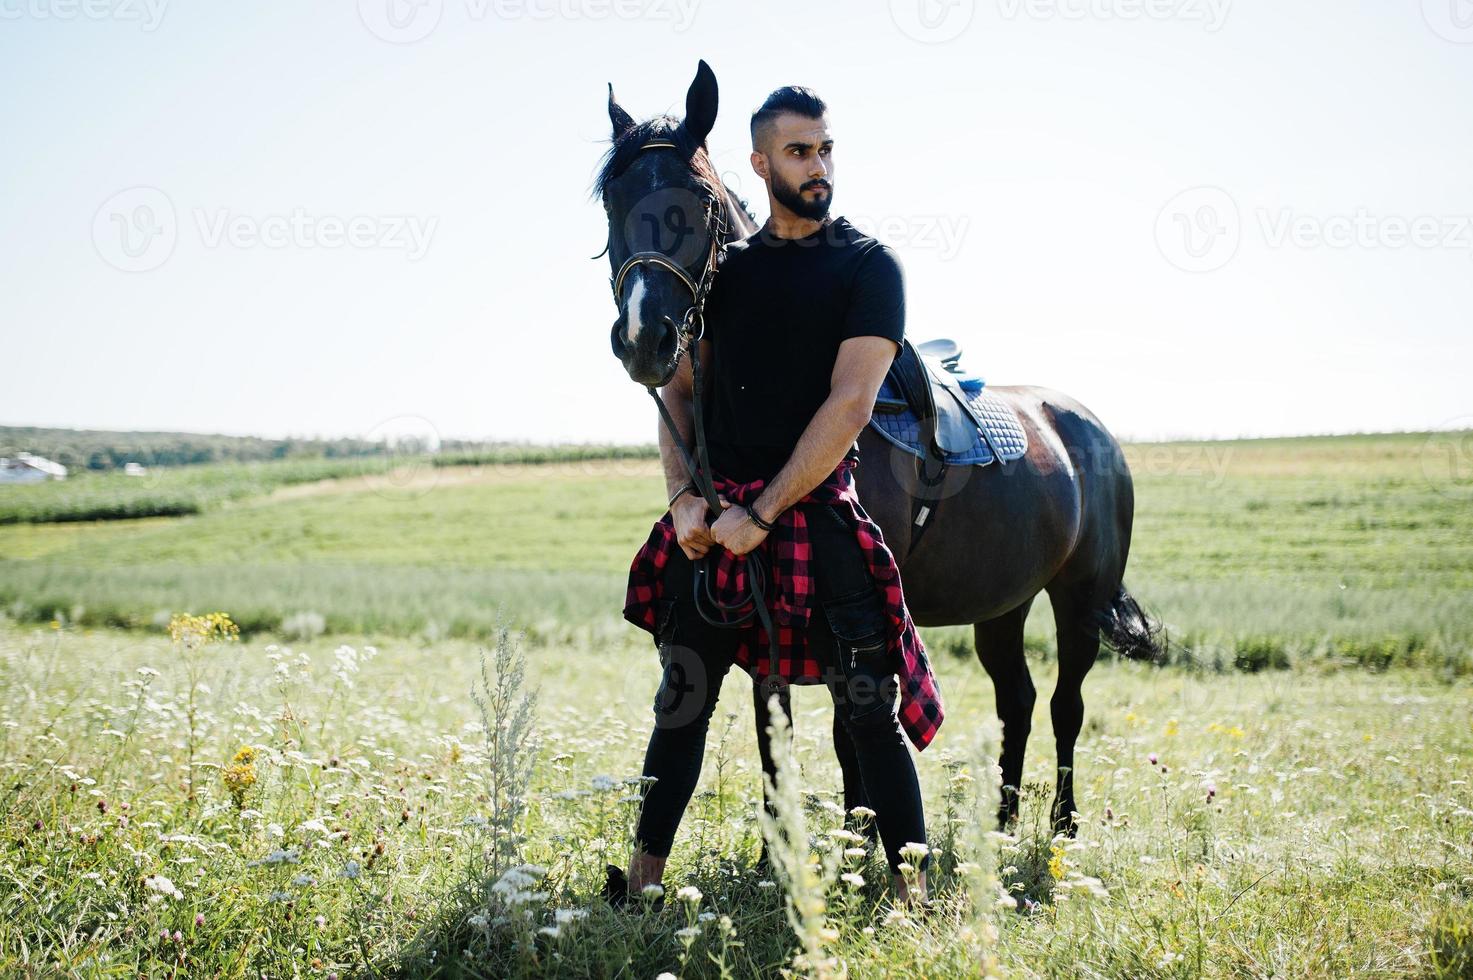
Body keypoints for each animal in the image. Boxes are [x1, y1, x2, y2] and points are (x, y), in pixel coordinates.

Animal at [598, 61, 1160, 831]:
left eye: (703, 202)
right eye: (611, 201)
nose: (643, 338)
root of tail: (1089, 428)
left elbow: (850, 738)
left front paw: (859, 841)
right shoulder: (758, 607)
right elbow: (772, 731)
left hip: (1080, 598)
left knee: (1065, 703)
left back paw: (1060, 827)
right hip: (1004, 601)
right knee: (1015, 697)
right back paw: (1002, 822)